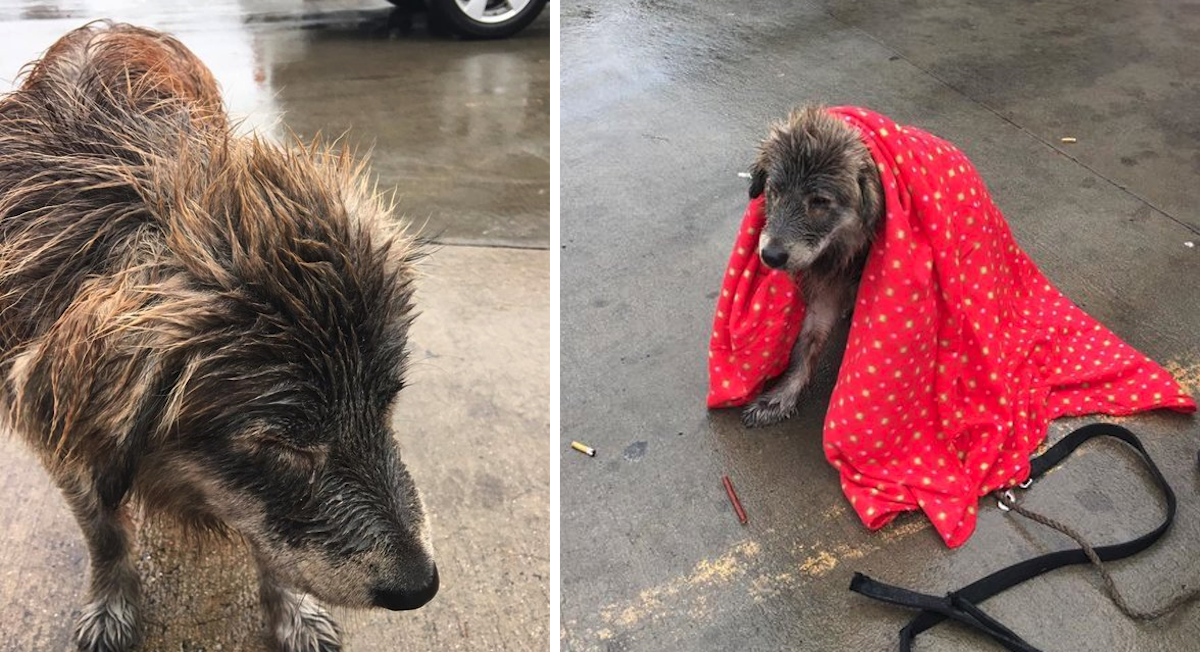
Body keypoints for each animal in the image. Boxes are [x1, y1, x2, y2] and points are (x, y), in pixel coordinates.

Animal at [0, 20, 439, 652]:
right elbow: (104, 531)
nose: (422, 586)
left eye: (387, 405)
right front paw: (111, 605)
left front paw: (293, 612)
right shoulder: (59, 435)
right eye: (281, 446)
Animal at [744, 106, 888, 432]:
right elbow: (807, 343)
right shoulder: (825, 290)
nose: (771, 255)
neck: (846, 253)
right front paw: (782, 397)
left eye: (820, 201)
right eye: (775, 190)